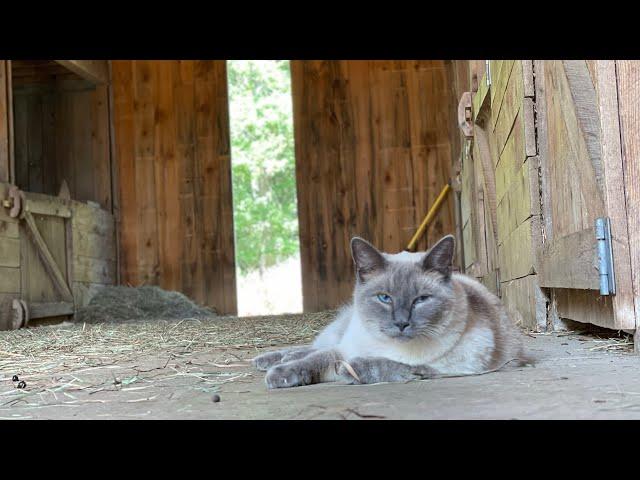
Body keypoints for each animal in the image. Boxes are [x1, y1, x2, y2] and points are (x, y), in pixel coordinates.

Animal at [252, 234, 528, 388]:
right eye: (384, 298)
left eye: (421, 300)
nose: (401, 323)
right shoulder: (344, 349)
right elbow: (314, 360)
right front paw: (279, 376)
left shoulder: (441, 369)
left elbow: (388, 364)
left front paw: (351, 370)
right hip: (339, 334)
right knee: (312, 348)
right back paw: (270, 361)